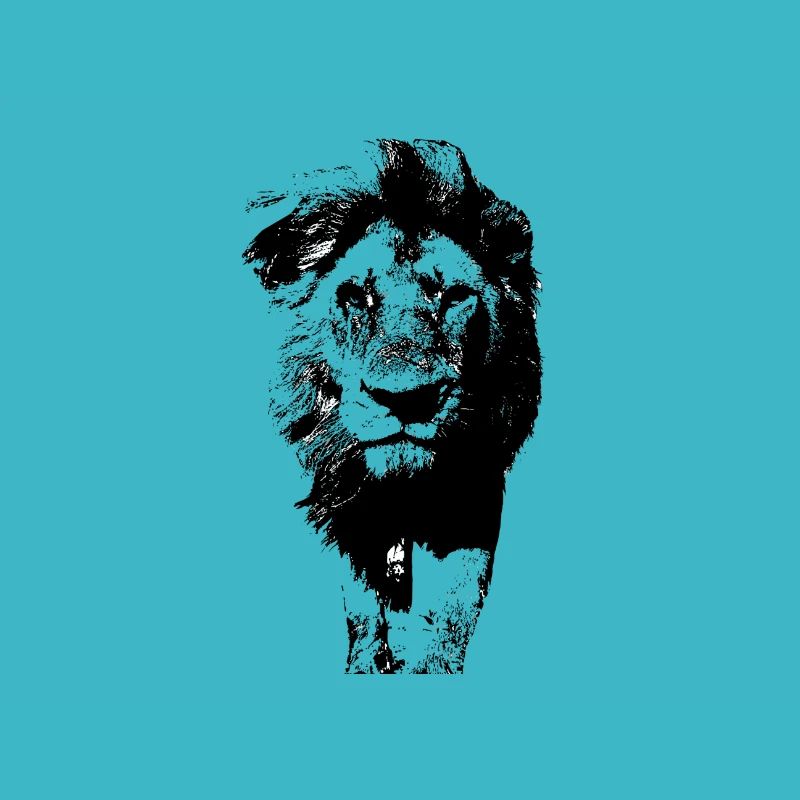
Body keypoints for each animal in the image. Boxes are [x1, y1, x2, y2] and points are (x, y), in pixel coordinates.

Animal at [242, 139, 541, 673]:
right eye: (356, 297)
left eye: (454, 297)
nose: (406, 399)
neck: (401, 501)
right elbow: (364, 605)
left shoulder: (472, 499)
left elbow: (453, 605)